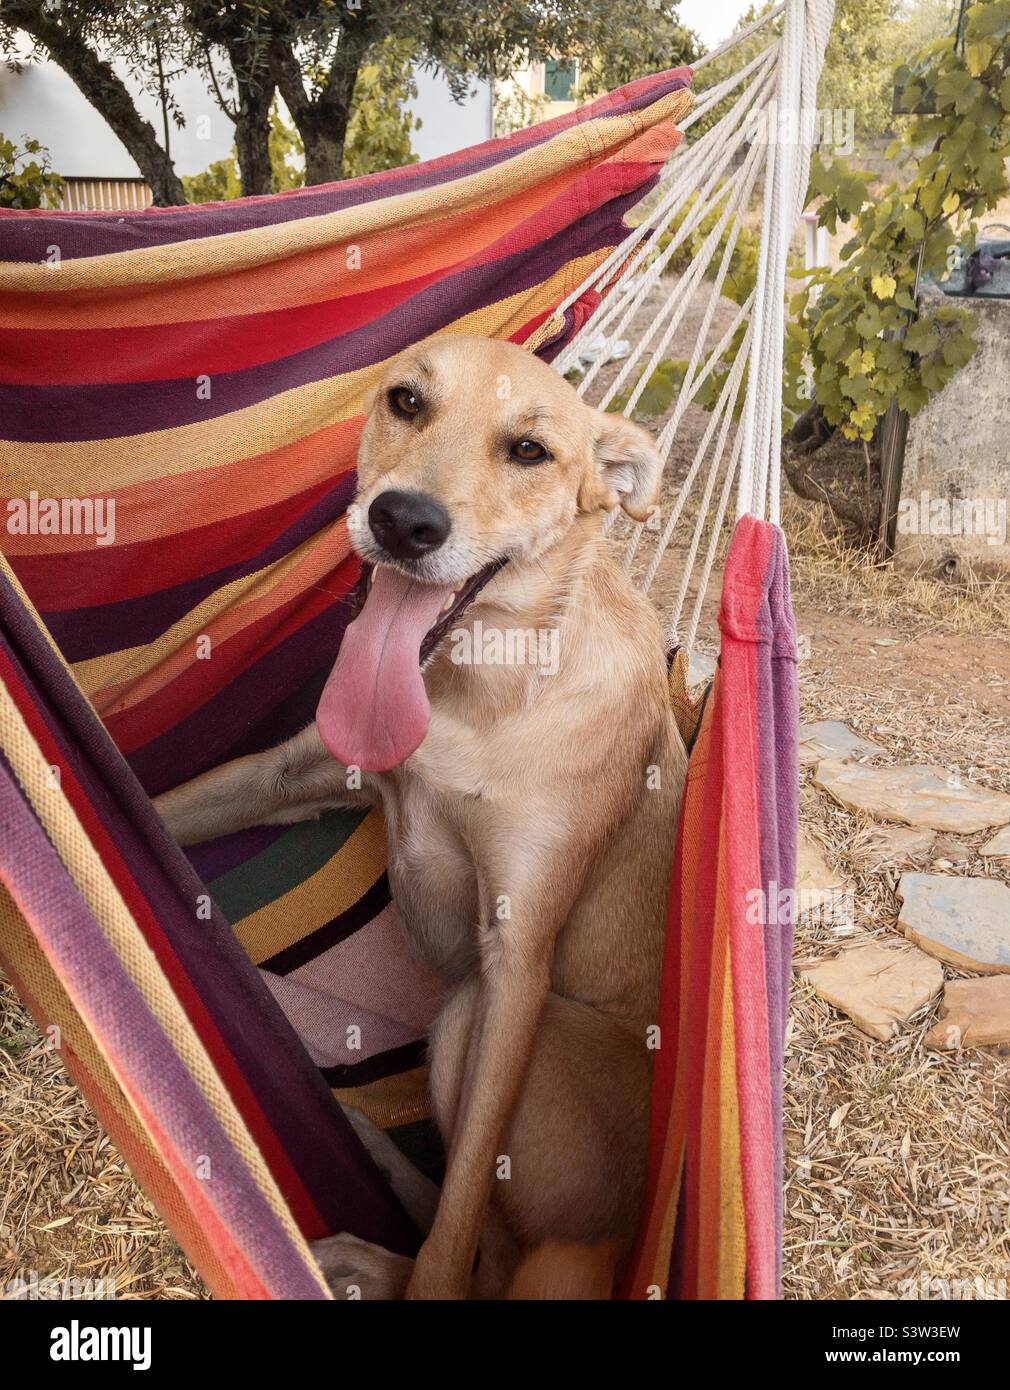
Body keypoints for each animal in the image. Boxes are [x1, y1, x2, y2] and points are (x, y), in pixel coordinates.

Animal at [154, 339, 691, 1301]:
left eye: (529, 451)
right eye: (406, 401)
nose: (404, 522)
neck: (475, 688)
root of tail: (610, 1249)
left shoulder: (516, 961)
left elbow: (463, 1207)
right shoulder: (294, 774)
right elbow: (163, 807)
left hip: (470, 1017)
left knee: (485, 1257)